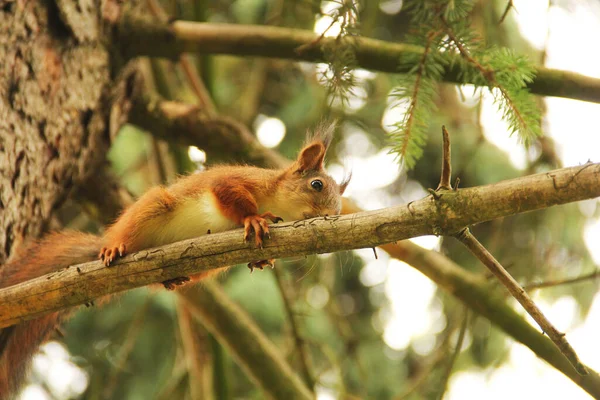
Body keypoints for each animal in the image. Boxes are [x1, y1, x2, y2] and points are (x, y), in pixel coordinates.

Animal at [0, 123, 352, 398]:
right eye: (316, 184)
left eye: (338, 204)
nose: (330, 216)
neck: (276, 198)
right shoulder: (237, 181)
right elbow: (230, 196)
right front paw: (253, 218)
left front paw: (263, 261)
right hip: (152, 207)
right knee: (124, 235)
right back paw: (115, 248)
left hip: (209, 266)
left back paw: (172, 278)